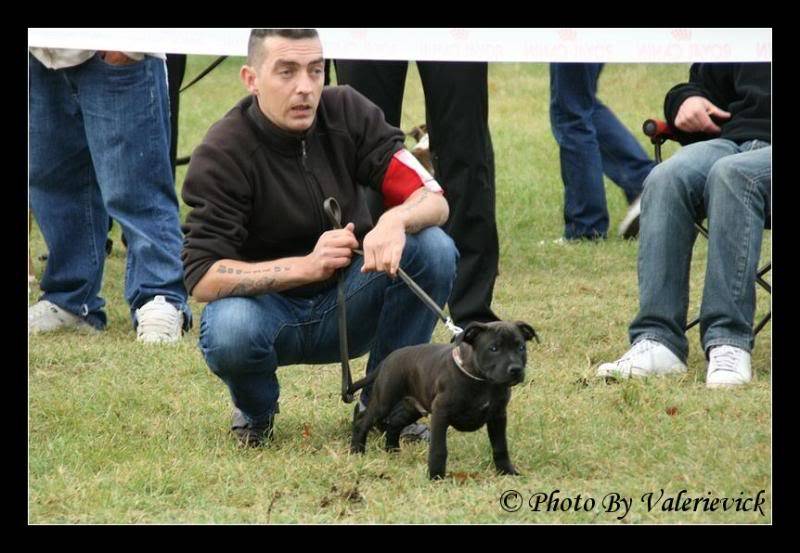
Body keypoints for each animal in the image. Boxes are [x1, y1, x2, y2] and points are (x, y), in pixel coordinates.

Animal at [350, 320, 536, 478]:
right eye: (494, 348)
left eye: (521, 347)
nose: (516, 369)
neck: (482, 381)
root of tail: (388, 359)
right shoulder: (441, 413)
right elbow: (439, 449)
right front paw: (436, 477)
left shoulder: (498, 416)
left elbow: (500, 446)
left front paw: (507, 472)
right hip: (384, 401)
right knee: (363, 422)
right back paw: (357, 451)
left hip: (413, 407)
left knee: (394, 424)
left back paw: (393, 451)